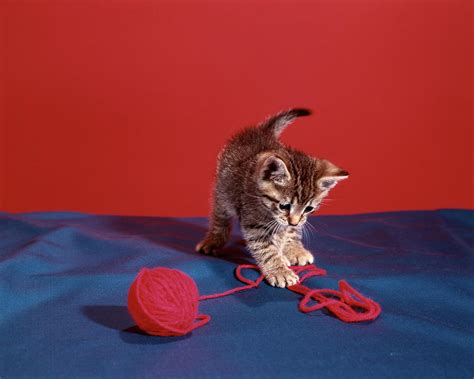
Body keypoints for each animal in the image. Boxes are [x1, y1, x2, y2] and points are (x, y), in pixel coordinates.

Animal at [196, 109, 348, 288]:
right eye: (284, 206)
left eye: (309, 209)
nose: (293, 221)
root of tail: (262, 131)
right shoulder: (253, 222)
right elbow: (267, 249)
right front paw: (279, 270)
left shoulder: (286, 223)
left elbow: (282, 236)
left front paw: (284, 255)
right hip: (223, 190)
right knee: (220, 216)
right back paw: (213, 240)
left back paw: (295, 248)